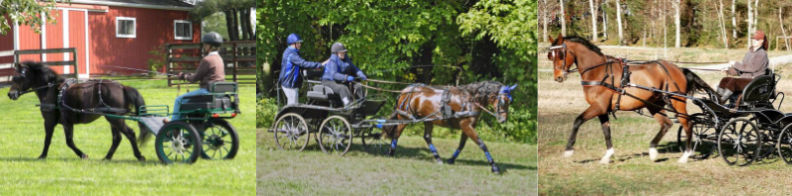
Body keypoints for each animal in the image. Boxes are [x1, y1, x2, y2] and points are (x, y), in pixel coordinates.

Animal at [8, 61, 150, 161]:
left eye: (17, 78)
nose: (10, 94)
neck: (51, 89)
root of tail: (122, 87)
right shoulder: (64, 122)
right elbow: (63, 140)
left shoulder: (53, 122)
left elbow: (60, 140)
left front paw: (43, 156)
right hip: (113, 118)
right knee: (117, 138)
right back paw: (107, 157)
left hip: (115, 118)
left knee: (130, 134)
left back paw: (139, 156)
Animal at [386, 80, 520, 174]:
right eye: (503, 101)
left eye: (510, 101)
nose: (503, 120)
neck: (470, 100)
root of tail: (405, 91)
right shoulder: (466, 126)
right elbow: (482, 144)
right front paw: (494, 167)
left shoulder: (467, 126)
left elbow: (461, 145)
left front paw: (451, 160)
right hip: (405, 117)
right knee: (396, 133)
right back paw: (391, 153)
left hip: (428, 120)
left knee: (427, 137)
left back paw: (438, 158)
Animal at [548, 34, 716, 164]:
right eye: (550, 56)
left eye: (561, 54)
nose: (558, 77)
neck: (599, 72)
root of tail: (678, 69)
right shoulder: (602, 110)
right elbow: (606, 131)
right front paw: (607, 156)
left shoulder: (598, 107)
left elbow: (578, 120)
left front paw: (568, 150)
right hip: (654, 104)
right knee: (666, 124)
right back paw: (653, 151)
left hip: (677, 101)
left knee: (688, 123)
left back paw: (685, 155)